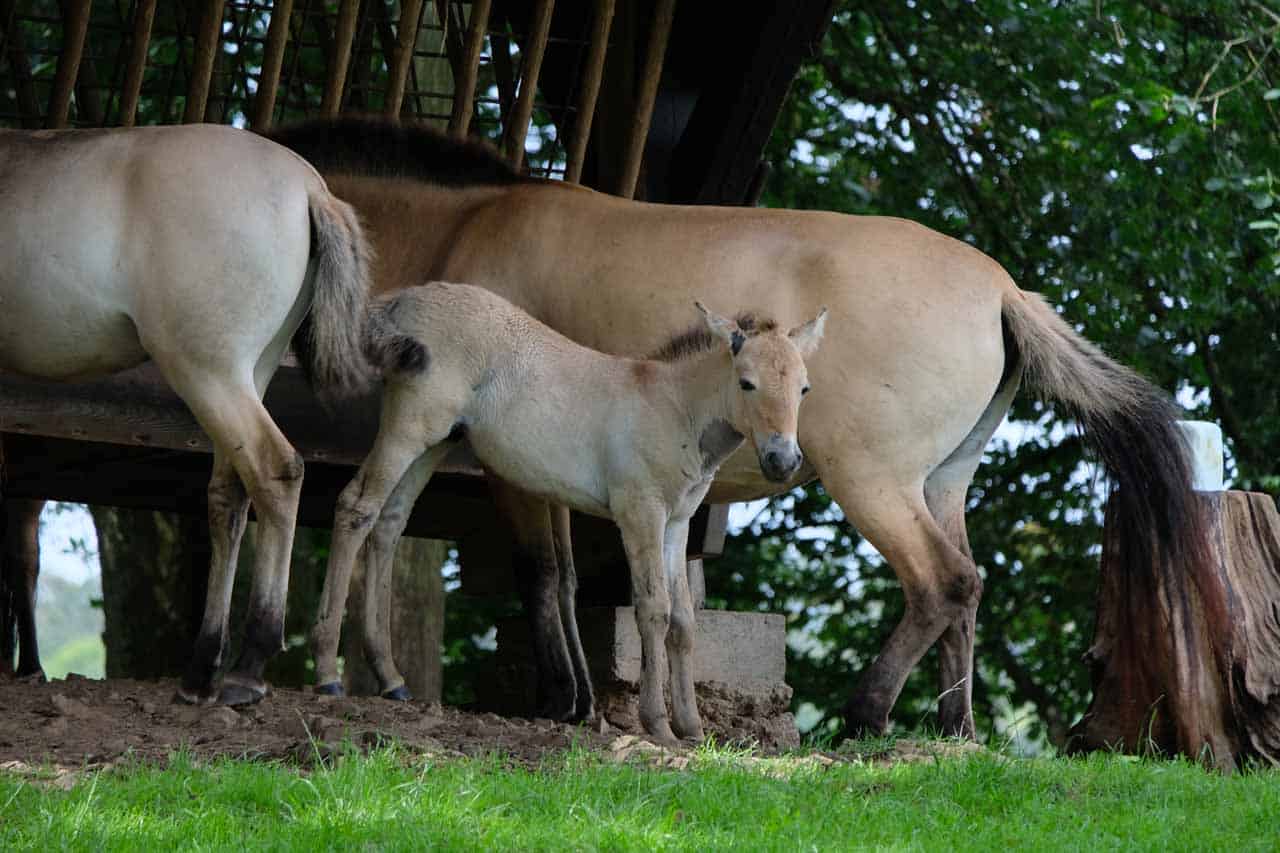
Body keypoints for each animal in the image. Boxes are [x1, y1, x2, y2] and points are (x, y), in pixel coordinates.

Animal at [0, 122, 373, 701]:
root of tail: (309, 188)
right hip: (246, 373)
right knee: (230, 496)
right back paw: (202, 670)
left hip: (207, 372)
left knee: (274, 471)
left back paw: (247, 666)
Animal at [270, 116, 1208, 732]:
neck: (471, 225)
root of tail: (1003, 289)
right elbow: (562, 577)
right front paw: (579, 701)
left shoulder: (509, 470)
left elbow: (542, 575)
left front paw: (561, 700)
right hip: (942, 483)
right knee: (969, 591)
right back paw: (955, 729)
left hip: (873, 481)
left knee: (941, 583)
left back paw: (864, 715)